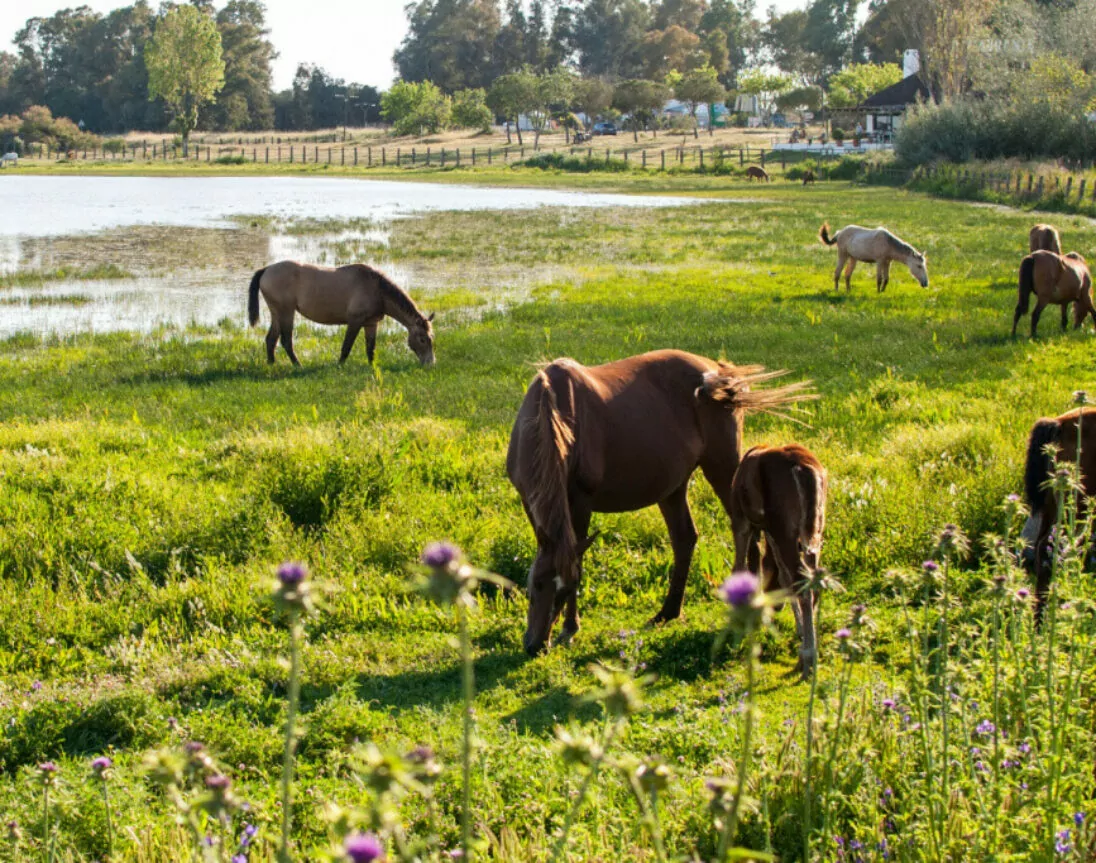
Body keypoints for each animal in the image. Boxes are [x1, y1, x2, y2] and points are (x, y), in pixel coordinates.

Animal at [249, 259, 436, 368]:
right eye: (422, 339)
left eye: (431, 337)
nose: (431, 363)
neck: (376, 289)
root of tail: (267, 269)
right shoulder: (355, 321)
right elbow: (347, 346)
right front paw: (340, 365)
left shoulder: (371, 323)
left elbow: (371, 348)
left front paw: (372, 366)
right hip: (286, 312)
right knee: (286, 341)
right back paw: (297, 366)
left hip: (276, 313)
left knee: (271, 339)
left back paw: (271, 364)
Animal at [504, 348, 815, 653]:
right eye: (536, 585)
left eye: (565, 590)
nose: (536, 645)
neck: (552, 412)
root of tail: (720, 371)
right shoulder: (530, 501)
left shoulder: (581, 501)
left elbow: (574, 560)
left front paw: (570, 628)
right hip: (673, 488)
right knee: (685, 538)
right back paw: (669, 612)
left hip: (723, 467)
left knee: (748, 534)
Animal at [732, 445, 824, 679]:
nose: (775, 607)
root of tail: (803, 470)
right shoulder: (771, 531)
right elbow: (783, 575)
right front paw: (799, 628)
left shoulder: (742, 522)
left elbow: (740, 565)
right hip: (814, 529)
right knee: (813, 578)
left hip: (785, 530)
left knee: (803, 580)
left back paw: (807, 659)